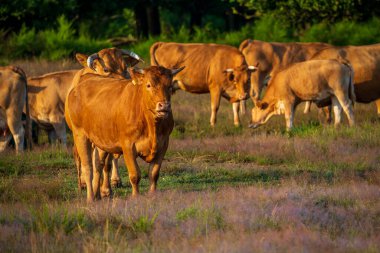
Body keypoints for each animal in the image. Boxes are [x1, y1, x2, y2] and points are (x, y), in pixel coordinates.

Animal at [65, 65, 184, 202]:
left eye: (170, 86)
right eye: (148, 85)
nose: (164, 105)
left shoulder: (163, 144)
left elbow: (154, 174)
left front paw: (153, 195)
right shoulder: (128, 146)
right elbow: (135, 175)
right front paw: (135, 197)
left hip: (101, 140)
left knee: (98, 165)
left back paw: (97, 195)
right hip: (80, 135)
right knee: (87, 167)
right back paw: (90, 198)